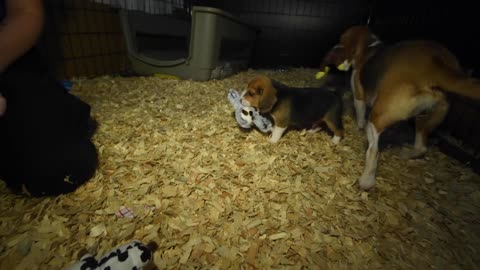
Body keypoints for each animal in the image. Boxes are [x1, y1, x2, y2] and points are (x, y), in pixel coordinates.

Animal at [324, 24, 480, 190]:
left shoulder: (358, 96)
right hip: (428, 117)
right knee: (421, 148)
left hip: (377, 117)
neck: (369, 47)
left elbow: (360, 114)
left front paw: (358, 126)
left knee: (374, 151)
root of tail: (435, 65)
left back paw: (366, 180)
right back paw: (406, 154)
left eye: (341, 39)